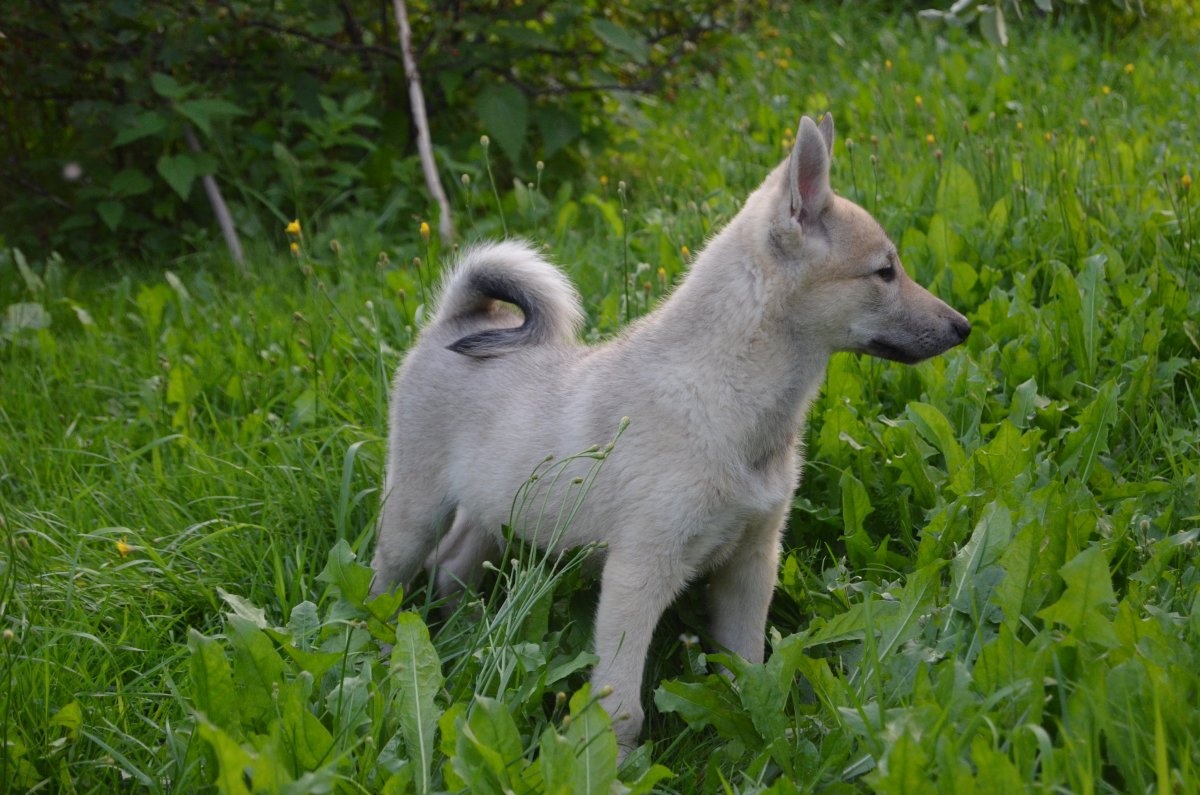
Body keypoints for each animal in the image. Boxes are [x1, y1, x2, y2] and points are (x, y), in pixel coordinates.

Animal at [369, 112, 969, 754]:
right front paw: (615, 761)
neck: (726, 397)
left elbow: (749, 667)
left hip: (492, 511)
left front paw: (754, 729)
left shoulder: (751, 566)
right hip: (413, 514)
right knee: (390, 580)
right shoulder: (638, 575)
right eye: (884, 272)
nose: (963, 327)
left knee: (450, 566)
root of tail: (459, 319)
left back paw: (470, 633)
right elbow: (622, 707)